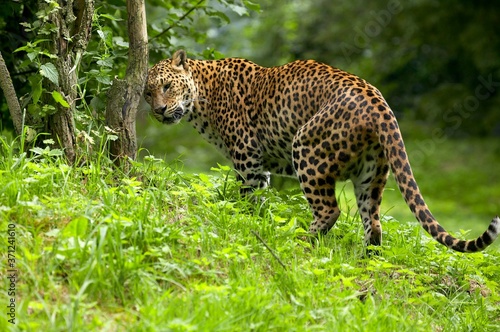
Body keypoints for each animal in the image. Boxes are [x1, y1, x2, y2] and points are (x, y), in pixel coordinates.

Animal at [143, 48, 498, 252]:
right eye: (147, 93)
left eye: (166, 86)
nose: (158, 111)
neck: (200, 98)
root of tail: (378, 102)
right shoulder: (260, 164)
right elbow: (261, 197)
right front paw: (259, 222)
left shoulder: (246, 156)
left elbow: (249, 198)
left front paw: (246, 223)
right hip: (372, 175)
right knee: (374, 223)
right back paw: (368, 261)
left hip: (307, 148)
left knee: (330, 210)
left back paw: (301, 240)